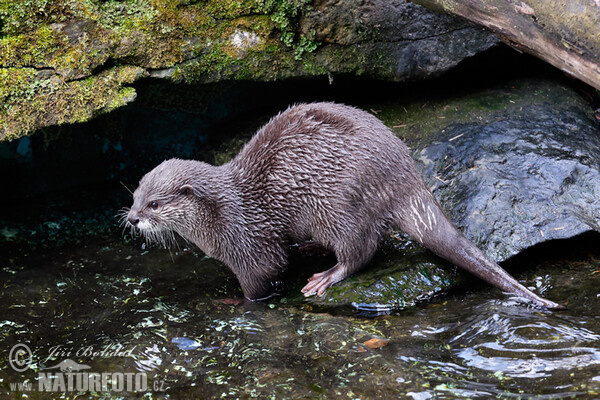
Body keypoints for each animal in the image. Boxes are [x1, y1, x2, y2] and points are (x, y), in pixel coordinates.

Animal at [124, 101, 564, 308]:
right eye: (135, 194)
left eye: (155, 204)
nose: (131, 219)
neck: (224, 211)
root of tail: (404, 175)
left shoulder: (249, 243)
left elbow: (262, 280)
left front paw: (234, 301)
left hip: (337, 204)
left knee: (362, 249)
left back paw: (326, 276)